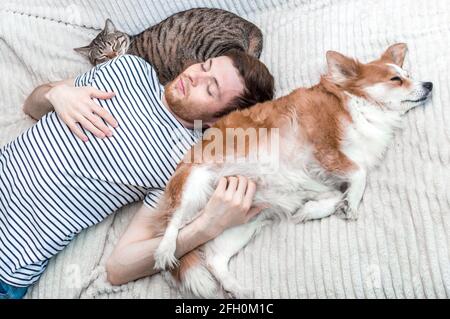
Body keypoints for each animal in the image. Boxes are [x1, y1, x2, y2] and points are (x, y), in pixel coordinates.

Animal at [149, 43, 434, 298]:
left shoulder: (316, 181)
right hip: (193, 186)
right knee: (174, 223)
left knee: (215, 259)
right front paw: (351, 203)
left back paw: (237, 289)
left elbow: (333, 194)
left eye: (408, 74)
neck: (361, 108)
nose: (430, 84)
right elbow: (359, 173)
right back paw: (165, 250)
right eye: (396, 79)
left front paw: (311, 211)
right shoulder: (324, 151)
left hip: (242, 220)